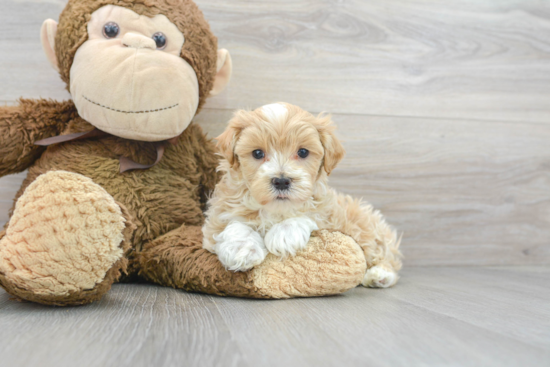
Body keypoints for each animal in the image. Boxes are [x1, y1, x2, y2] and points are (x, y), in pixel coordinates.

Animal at [205, 103, 404, 288]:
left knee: (385, 255)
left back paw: (379, 275)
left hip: (364, 225)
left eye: (302, 152)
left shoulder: (328, 215)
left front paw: (283, 234)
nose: (281, 181)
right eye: (257, 153)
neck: (276, 209)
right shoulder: (219, 214)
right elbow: (231, 224)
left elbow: (308, 215)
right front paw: (242, 249)